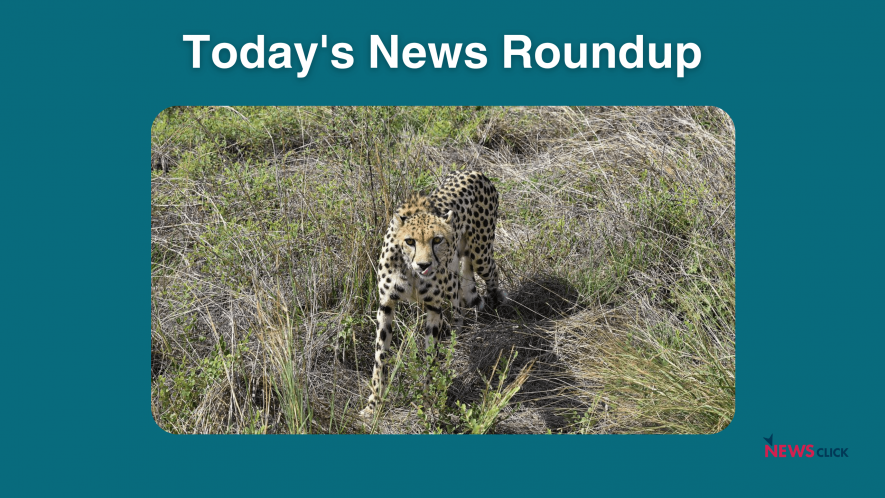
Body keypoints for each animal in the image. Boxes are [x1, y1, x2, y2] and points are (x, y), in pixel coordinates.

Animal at [360, 170, 506, 418]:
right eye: (410, 241)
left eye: (437, 240)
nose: (424, 264)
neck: (411, 271)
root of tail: (474, 172)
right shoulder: (386, 305)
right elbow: (380, 358)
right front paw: (373, 405)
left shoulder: (434, 307)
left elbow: (431, 358)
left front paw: (428, 402)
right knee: (462, 294)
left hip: (480, 254)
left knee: (491, 273)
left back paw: (495, 306)